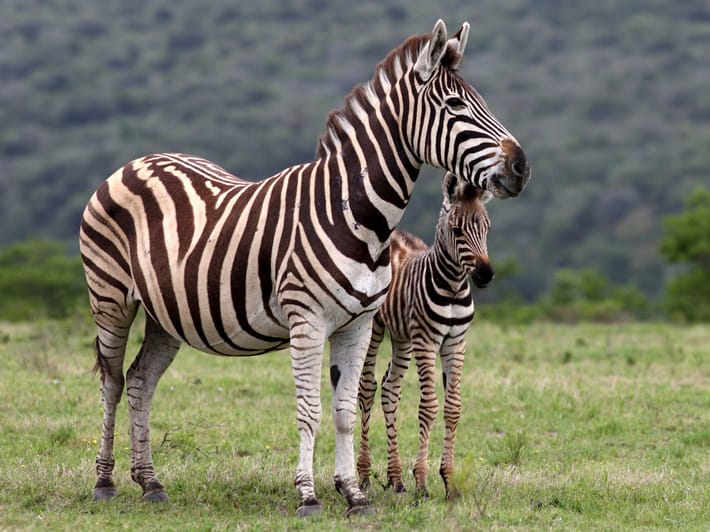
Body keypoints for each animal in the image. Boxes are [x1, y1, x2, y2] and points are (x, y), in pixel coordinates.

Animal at [357, 171, 492, 501]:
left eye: (486, 228)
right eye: (456, 230)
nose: (485, 275)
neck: (454, 287)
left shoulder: (456, 342)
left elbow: (453, 408)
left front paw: (449, 481)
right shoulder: (427, 341)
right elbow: (428, 407)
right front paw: (421, 481)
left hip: (403, 338)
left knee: (390, 388)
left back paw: (395, 479)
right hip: (375, 327)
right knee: (367, 388)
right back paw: (365, 475)